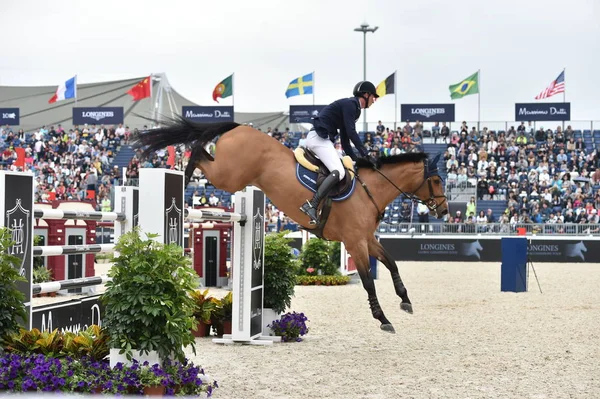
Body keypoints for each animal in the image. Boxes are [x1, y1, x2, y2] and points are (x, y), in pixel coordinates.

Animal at [134, 119, 448, 334]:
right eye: (436, 180)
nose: (444, 210)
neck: (370, 189)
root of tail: (239, 127)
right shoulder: (355, 241)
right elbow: (368, 281)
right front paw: (382, 319)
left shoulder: (366, 239)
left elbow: (391, 262)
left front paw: (405, 301)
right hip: (229, 176)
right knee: (200, 152)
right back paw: (184, 174)